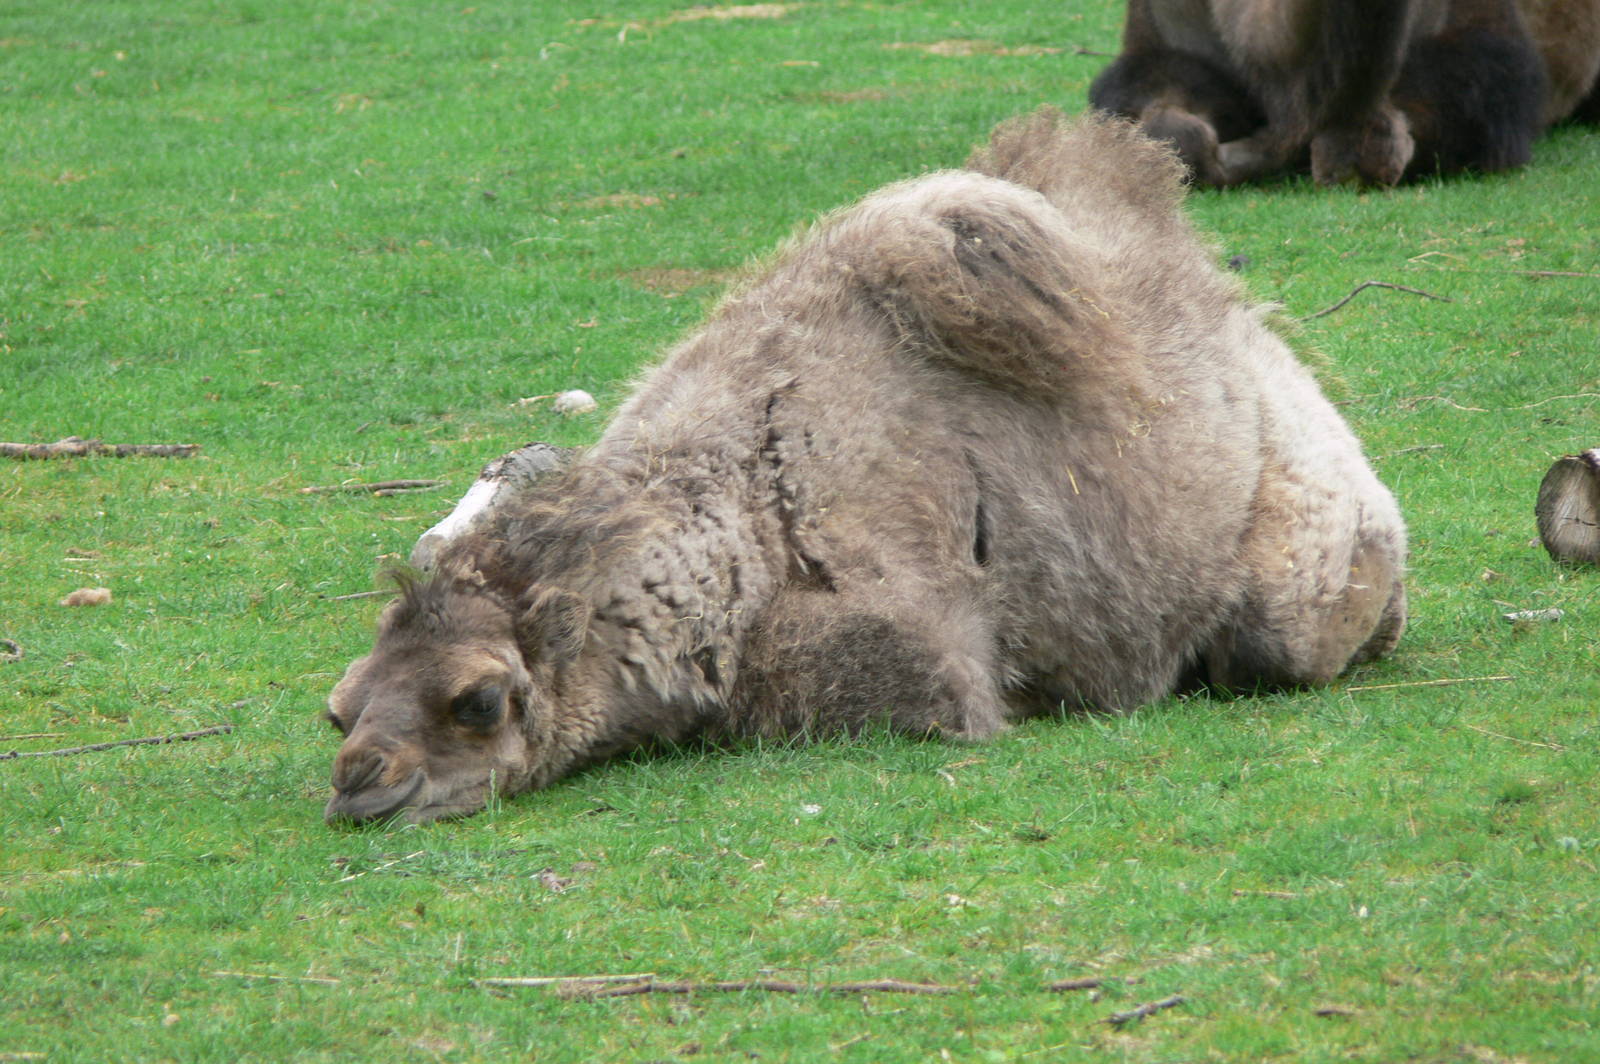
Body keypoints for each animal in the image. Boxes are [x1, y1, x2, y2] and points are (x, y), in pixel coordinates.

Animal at [322, 108, 1407, 825]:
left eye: (478, 699)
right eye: (337, 707)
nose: (358, 780)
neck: (746, 521)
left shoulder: (903, 632)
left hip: (1306, 557)